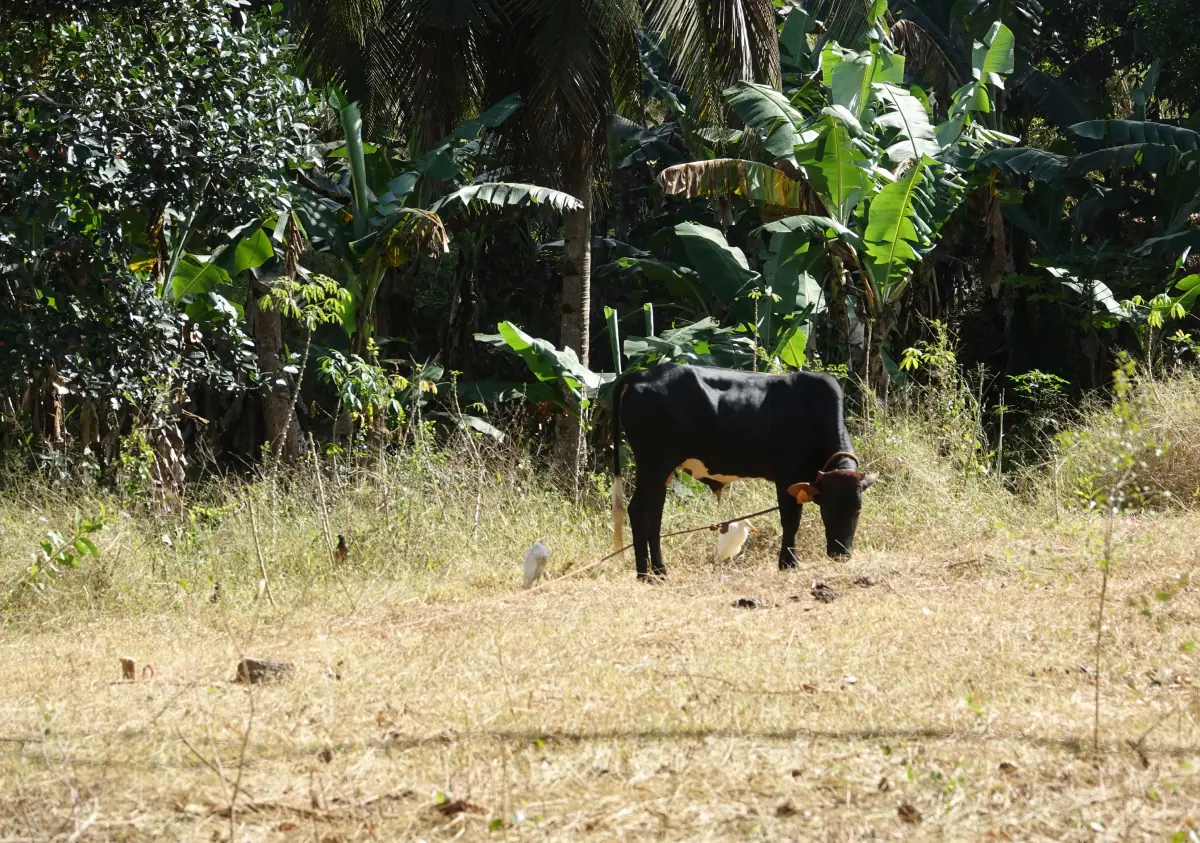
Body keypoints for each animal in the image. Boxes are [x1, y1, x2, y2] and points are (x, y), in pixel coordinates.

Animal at [614, 362, 878, 581]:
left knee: (654, 515)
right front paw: (788, 563)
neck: (814, 414)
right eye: (826, 509)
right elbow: (791, 520)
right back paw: (644, 575)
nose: (841, 554)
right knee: (638, 510)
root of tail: (640, 374)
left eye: (858, 509)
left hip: (662, 472)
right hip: (654, 464)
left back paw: (660, 571)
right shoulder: (786, 476)